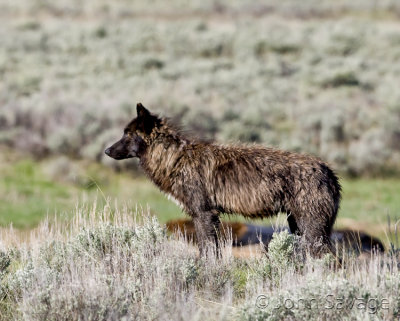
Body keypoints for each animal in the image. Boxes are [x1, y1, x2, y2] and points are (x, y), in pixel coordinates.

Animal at [104, 104, 340, 256]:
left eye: (128, 134)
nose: (106, 151)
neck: (175, 158)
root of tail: (327, 169)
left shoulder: (204, 214)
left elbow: (207, 251)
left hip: (312, 230)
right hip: (298, 226)